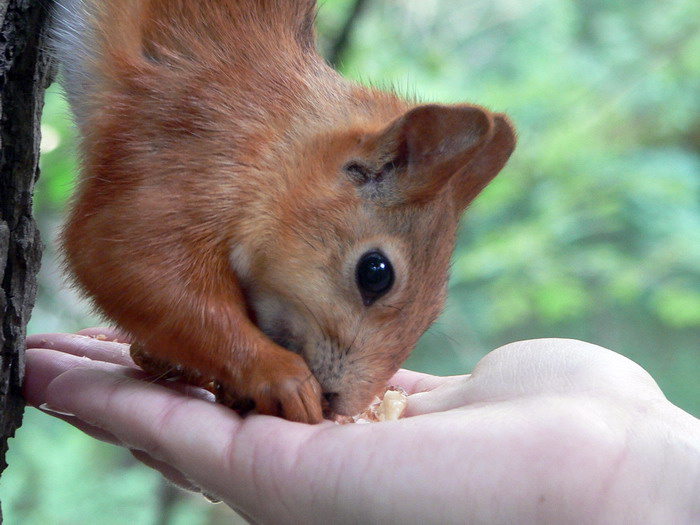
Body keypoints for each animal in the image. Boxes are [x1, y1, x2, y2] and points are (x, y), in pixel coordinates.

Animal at [50, 0, 516, 423]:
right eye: (375, 273)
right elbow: (125, 259)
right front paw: (279, 377)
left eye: (435, 309)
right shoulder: (186, 159)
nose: (338, 406)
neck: (276, 146)